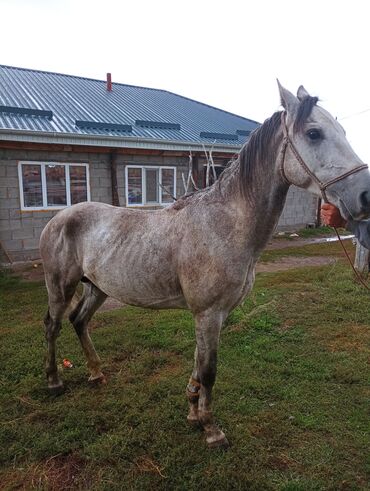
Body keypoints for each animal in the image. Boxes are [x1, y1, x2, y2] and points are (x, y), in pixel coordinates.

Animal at [39, 83, 370, 450]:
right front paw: (212, 430)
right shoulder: (208, 313)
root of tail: (59, 217)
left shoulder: (214, 314)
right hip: (60, 286)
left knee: (79, 321)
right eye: (314, 133)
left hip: (97, 288)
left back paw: (97, 373)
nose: (365, 195)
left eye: (343, 131)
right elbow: (209, 370)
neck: (224, 225)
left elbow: (199, 365)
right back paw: (54, 382)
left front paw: (193, 413)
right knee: (53, 326)